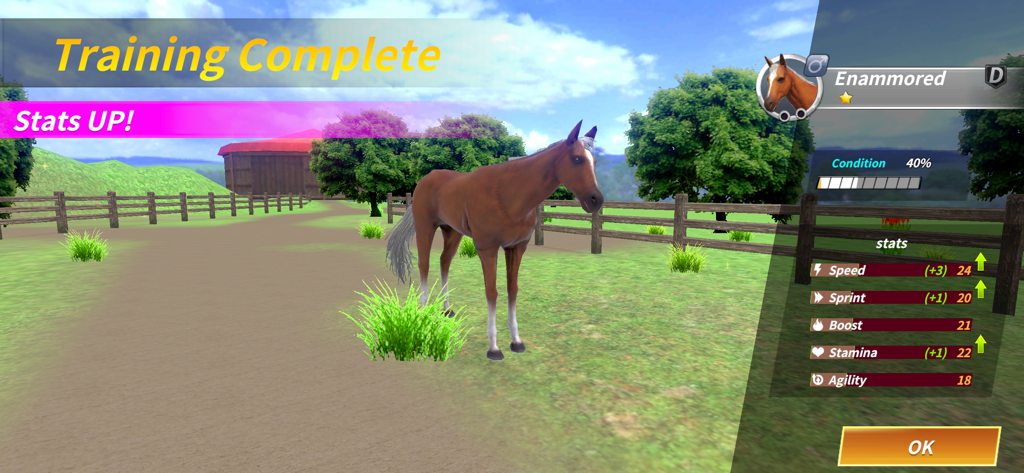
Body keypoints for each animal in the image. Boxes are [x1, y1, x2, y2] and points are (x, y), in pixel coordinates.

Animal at [385, 121, 604, 360]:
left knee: (444, 262)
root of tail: (425, 180)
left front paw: (516, 341)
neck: (509, 196)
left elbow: (512, 289)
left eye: (594, 162)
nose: (596, 200)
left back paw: (447, 310)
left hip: (452, 231)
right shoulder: (488, 249)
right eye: (577, 159)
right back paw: (425, 312)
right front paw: (494, 348)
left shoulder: (516, 248)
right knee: (424, 264)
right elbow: (491, 292)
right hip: (426, 228)